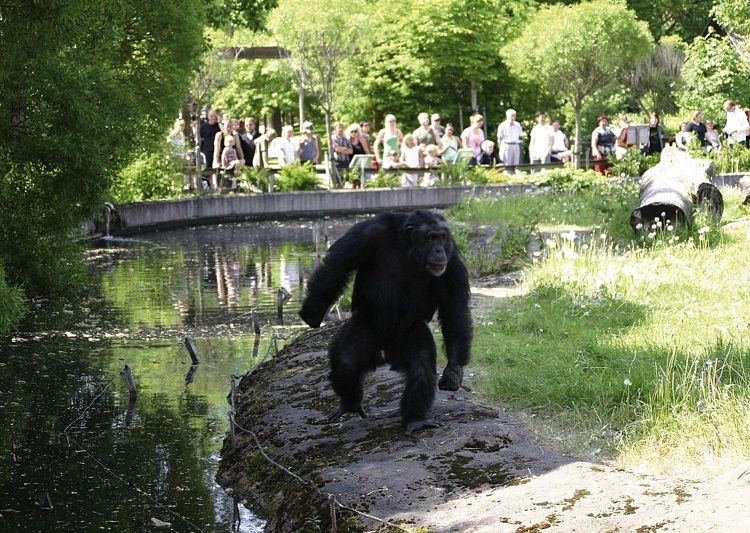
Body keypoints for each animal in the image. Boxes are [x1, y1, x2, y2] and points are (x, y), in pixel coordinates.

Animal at [302, 208, 472, 432]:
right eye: (430, 238)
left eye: (441, 237)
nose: (438, 250)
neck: (407, 248)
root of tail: (385, 352)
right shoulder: (367, 234)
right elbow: (338, 266)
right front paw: (312, 313)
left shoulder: (451, 259)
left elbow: (454, 307)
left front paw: (453, 371)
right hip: (364, 326)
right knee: (346, 363)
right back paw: (349, 403)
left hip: (410, 333)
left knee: (421, 369)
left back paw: (415, 419)